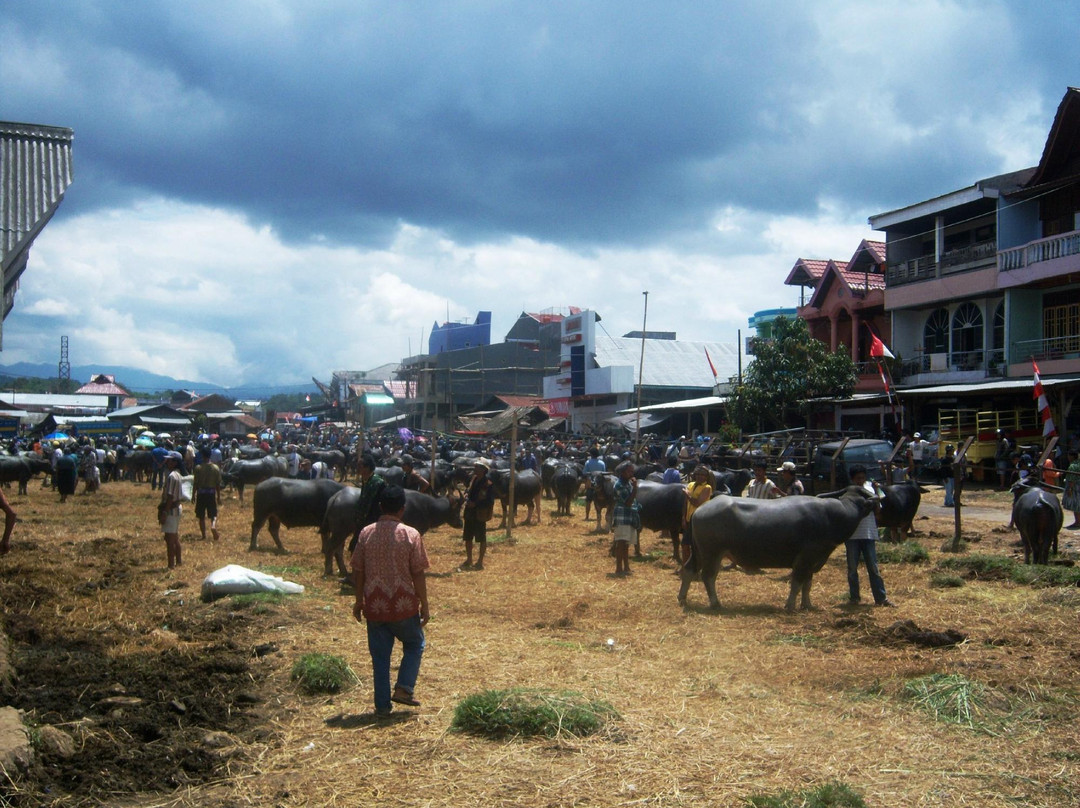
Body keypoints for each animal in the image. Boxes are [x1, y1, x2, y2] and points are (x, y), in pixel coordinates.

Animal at [315, 488, 460, 578]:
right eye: (457, 509)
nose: (461, 523)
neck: (427, 507)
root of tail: (336, 497)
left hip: (343, 531)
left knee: (338, 550)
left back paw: (344, 571)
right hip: (340, 531)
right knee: (330, 548)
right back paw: (328, 571)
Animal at [682, 486, 876, 613]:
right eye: (863, 504)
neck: (830, 517)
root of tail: (699, 510)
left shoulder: (812, 561)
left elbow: (807, 585)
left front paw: (807, 605)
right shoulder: (804, 559)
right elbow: (797, 583)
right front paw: (790, 606)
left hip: (698, 553)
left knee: (688, 570)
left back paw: (682, 599)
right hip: (712, 554)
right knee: (708, 577)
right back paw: (715, 603)